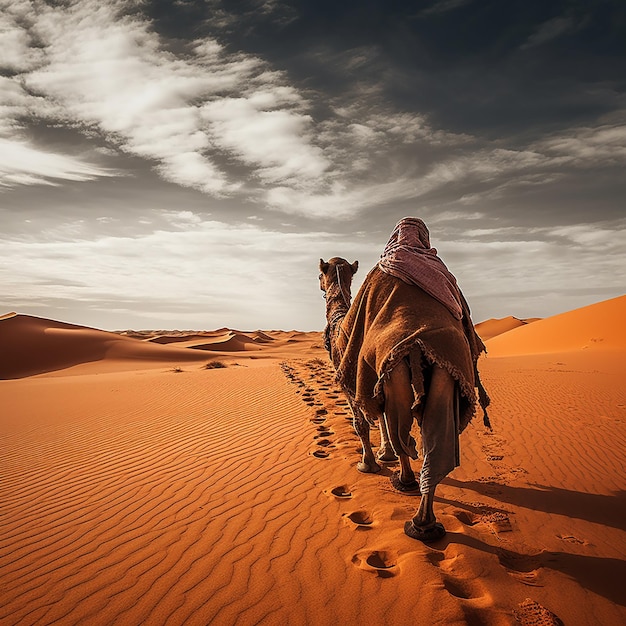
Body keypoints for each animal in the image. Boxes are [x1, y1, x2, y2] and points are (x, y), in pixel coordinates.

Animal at [316, 217, 488, 540]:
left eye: (320, 274)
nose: (320, 285)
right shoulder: (370, 371)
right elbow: (379, 415)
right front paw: (384, 455)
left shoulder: (349, 377)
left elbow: (361, 422)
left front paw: (369, 463)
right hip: (440, 368)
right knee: (431, 434)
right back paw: (425, 520)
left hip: (396, 365)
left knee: (400, 421)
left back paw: (407, 487)